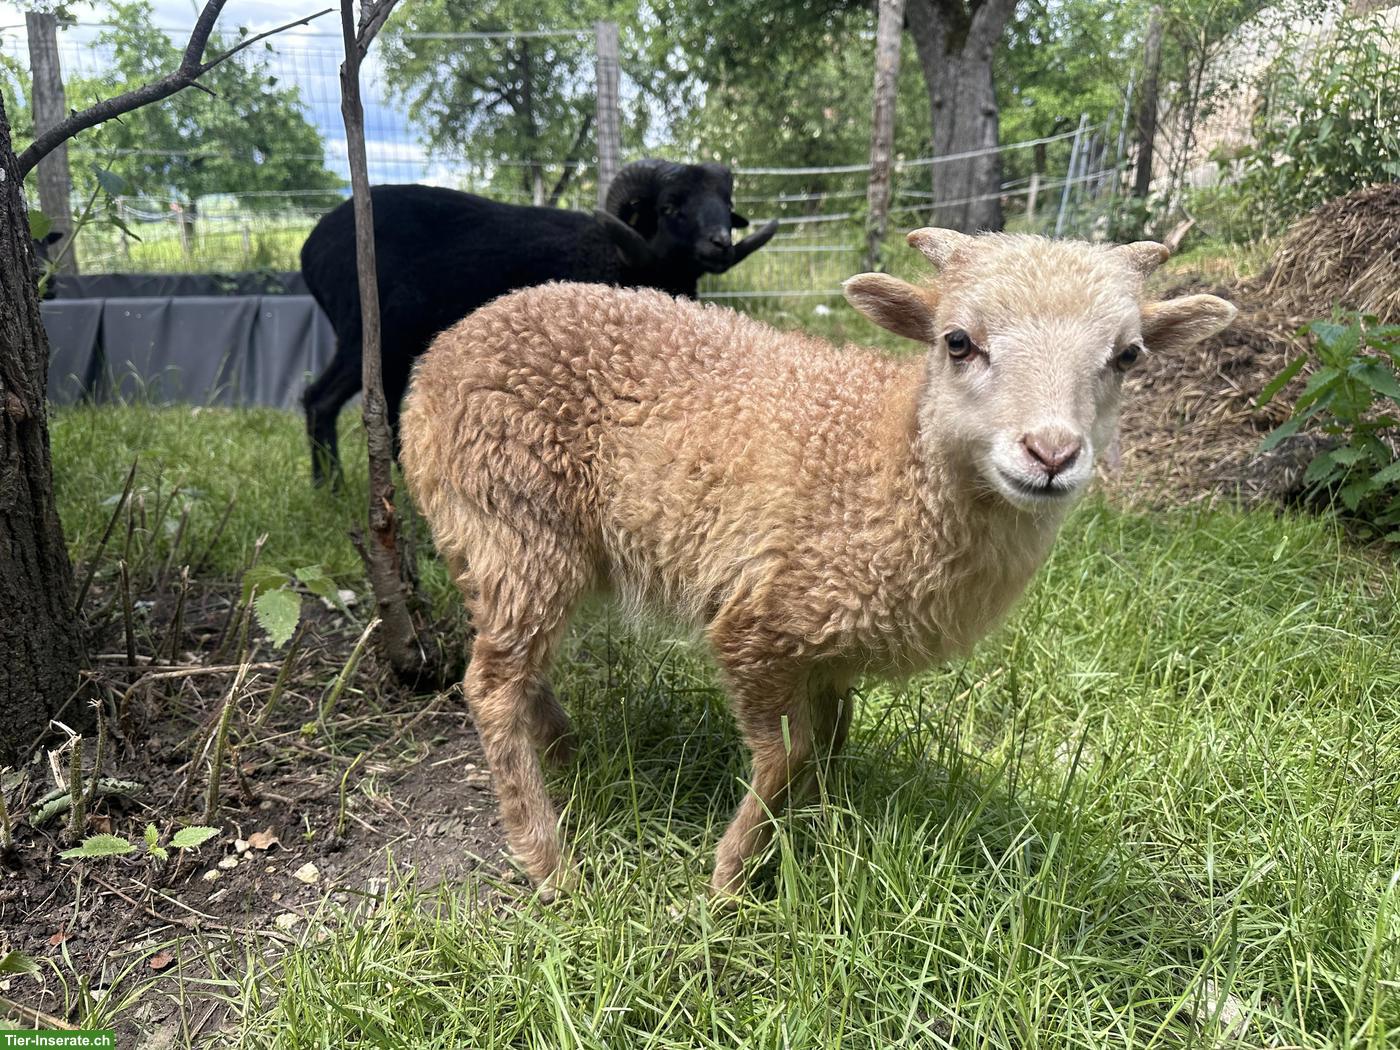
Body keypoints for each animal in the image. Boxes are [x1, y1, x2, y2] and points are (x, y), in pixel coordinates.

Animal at [299, 159, 779, 486]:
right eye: (670, 206)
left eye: (727, 204)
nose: (720, 244)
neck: (625, 255)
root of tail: (311, 247)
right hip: (368, 336)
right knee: (319, 399)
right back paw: (331, 488)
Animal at [398, 228, 1237, 896]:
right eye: (957, 342)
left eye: (1127, 356)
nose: (1053, 454)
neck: (884, 463)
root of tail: (438, 359)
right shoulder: (755, 627)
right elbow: (784, 756)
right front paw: (729, 880)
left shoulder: (829, 650)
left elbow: (833, 742)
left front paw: (826, 830)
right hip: (515, 522)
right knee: (491, 685)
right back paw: (549, 862)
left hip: (496, 544)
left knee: (515, 666)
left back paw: (565, 753)